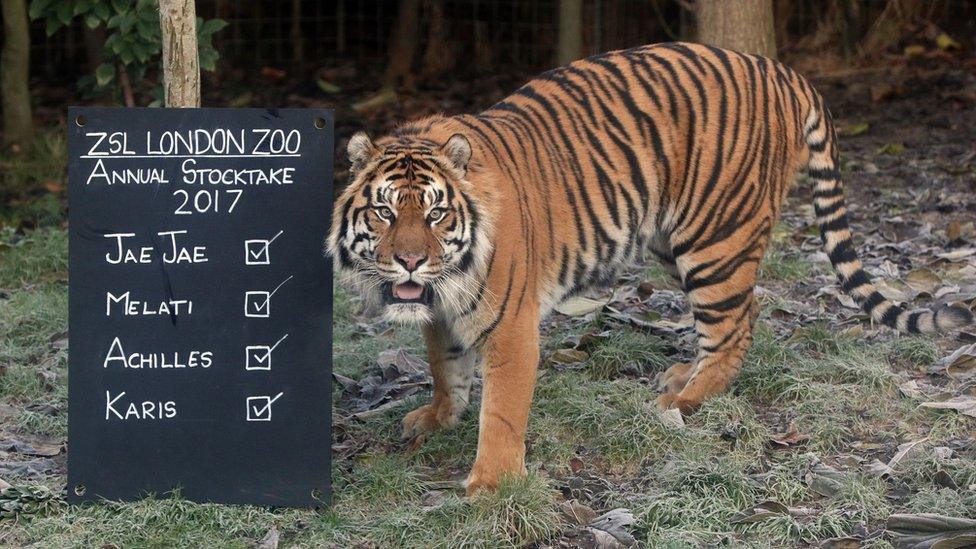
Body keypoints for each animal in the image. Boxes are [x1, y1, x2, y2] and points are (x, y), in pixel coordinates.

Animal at [330, 41, 976, 492]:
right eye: (385, 212)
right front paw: (438, 417)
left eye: (436, 213)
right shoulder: (443, 308)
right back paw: (681, 379)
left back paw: (683, 403)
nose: (410, 261)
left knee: (734, 327)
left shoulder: (510, 322)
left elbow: (503, 410)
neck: (447, 277)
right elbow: (446, 366)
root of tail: (782, 70)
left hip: (715, 237)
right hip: (677, 236)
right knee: (740, 316)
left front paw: (492, 485)